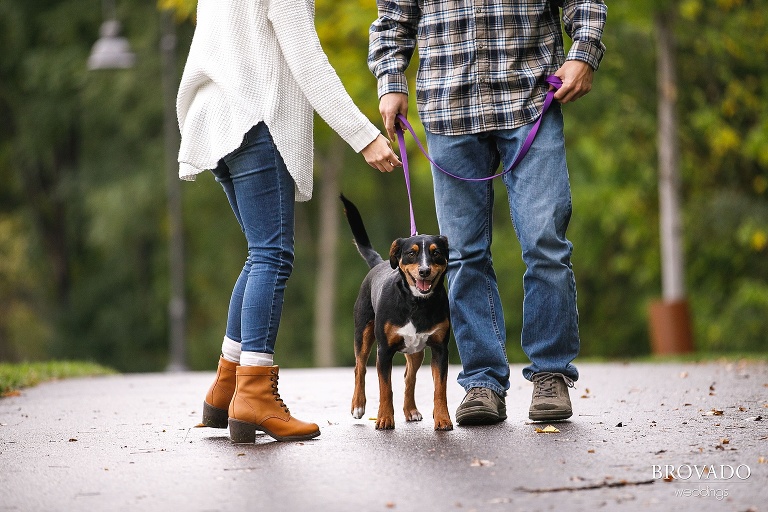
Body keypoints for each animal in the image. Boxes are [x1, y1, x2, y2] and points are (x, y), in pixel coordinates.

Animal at [340, 194, 452, 430]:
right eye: (411, 253)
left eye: (436, 253)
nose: (424, 271)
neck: (416, 303)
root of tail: (380, 263)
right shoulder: (384, 351)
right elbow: (385, 388)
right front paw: (384, 418)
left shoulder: (440, 349)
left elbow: (440, 389)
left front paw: (443, 419)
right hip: (363, 333)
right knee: (360, 368)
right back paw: (358, 405)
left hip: (416, 351)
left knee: (410, 377)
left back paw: (411, 410)